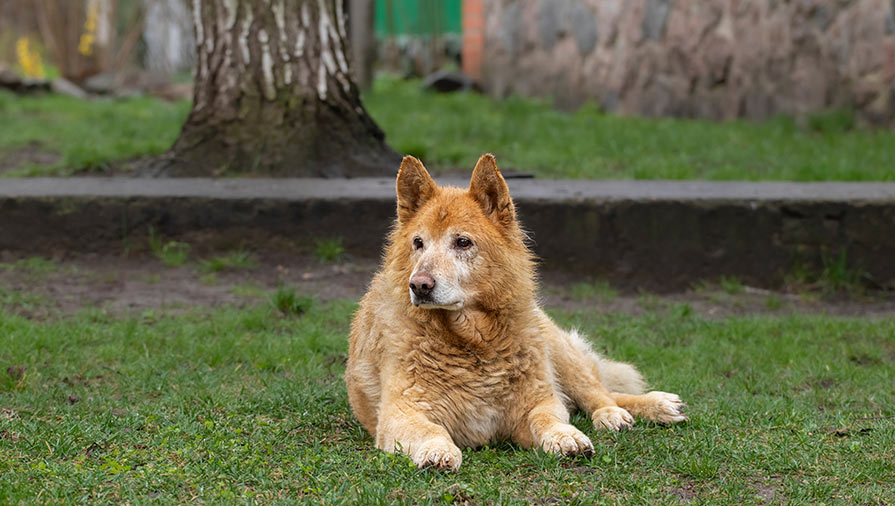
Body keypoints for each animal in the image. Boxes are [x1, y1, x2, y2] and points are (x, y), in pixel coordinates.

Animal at [344, 154, 688, 470]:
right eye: (418, 243)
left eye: (462, 242)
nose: (419, 285)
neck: (473, 342)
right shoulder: (399, 414)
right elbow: (430, 430)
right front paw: (436, 450)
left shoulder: (538, 403)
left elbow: (548, 418)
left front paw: (566, 435)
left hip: (557, 350)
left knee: (598, 392)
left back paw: (636, 409)